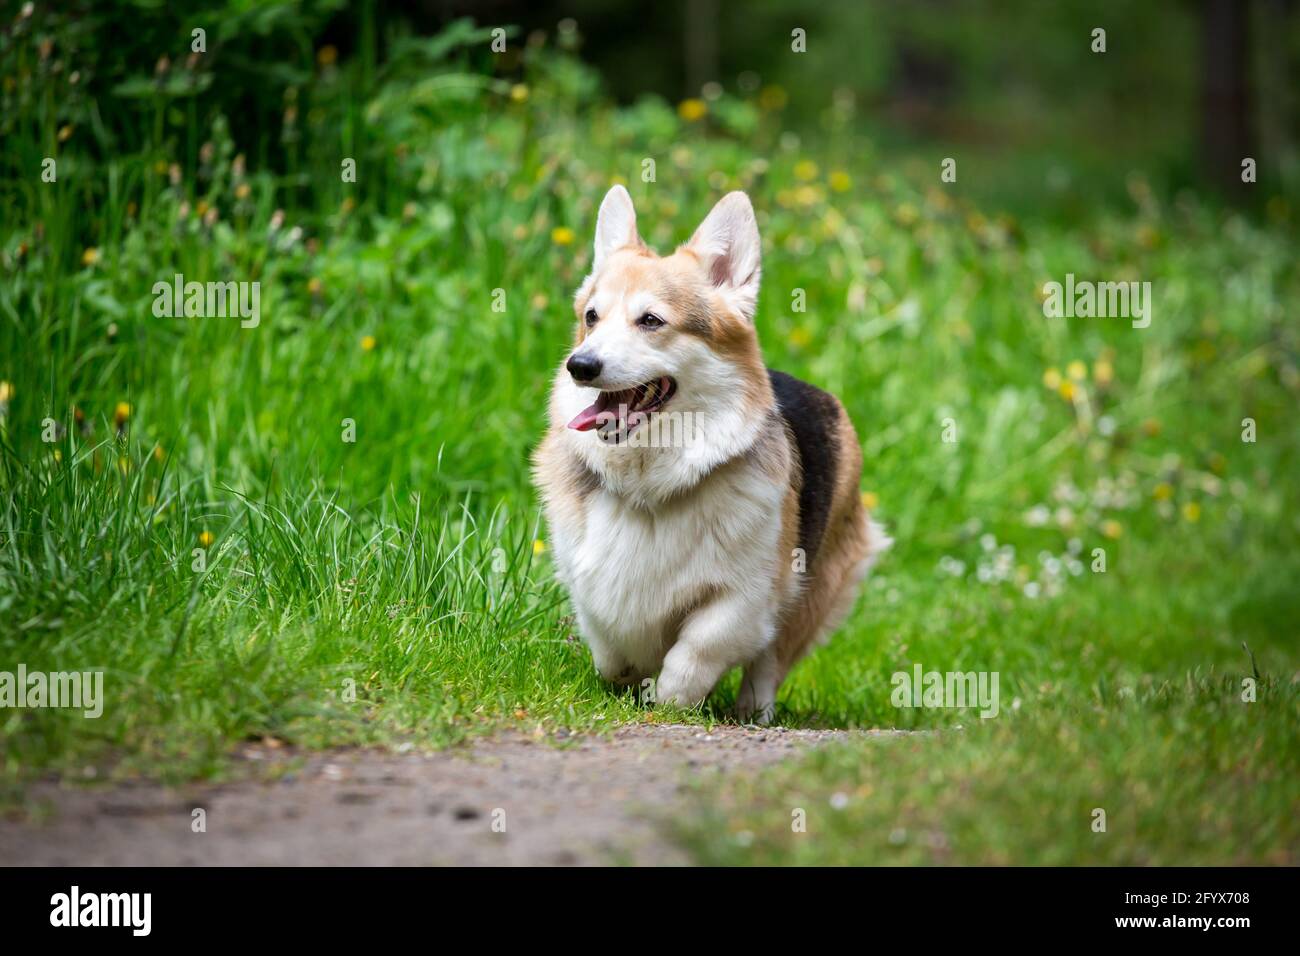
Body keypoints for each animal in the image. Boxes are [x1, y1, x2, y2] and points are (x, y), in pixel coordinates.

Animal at [533, 184, 889, 723]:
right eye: (592, 317)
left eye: (651, 320)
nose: (580, 365)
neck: (651, 483)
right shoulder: (588, 582)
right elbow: (610, 645)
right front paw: (628, 680)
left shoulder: (745, 597)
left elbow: (698, 649)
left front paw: (669, 699)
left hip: (815, 586)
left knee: (769, 663)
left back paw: (752, 713)